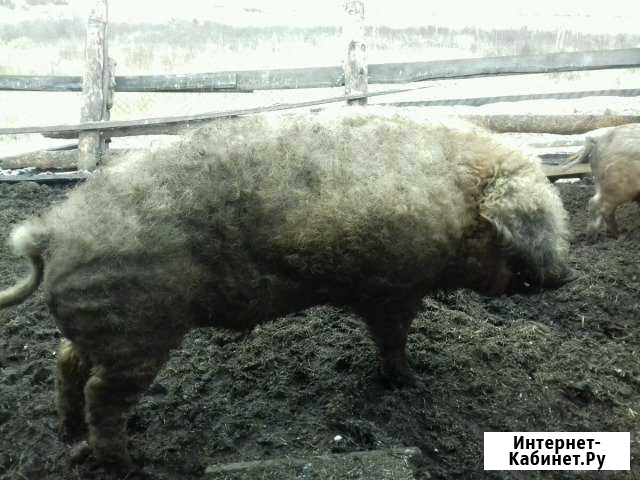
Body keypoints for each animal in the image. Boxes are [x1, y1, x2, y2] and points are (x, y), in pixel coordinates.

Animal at [0, 107, 572, 470]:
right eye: (543, 217)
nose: (567, 275)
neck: (455, 204)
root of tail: (50, 232)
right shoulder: (393, 287)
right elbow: (393, 339)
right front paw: (411, 382)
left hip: (98, 328)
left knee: (64, 363)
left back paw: (72, 439)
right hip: (134, 334)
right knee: (101, 393)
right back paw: (125, 465)